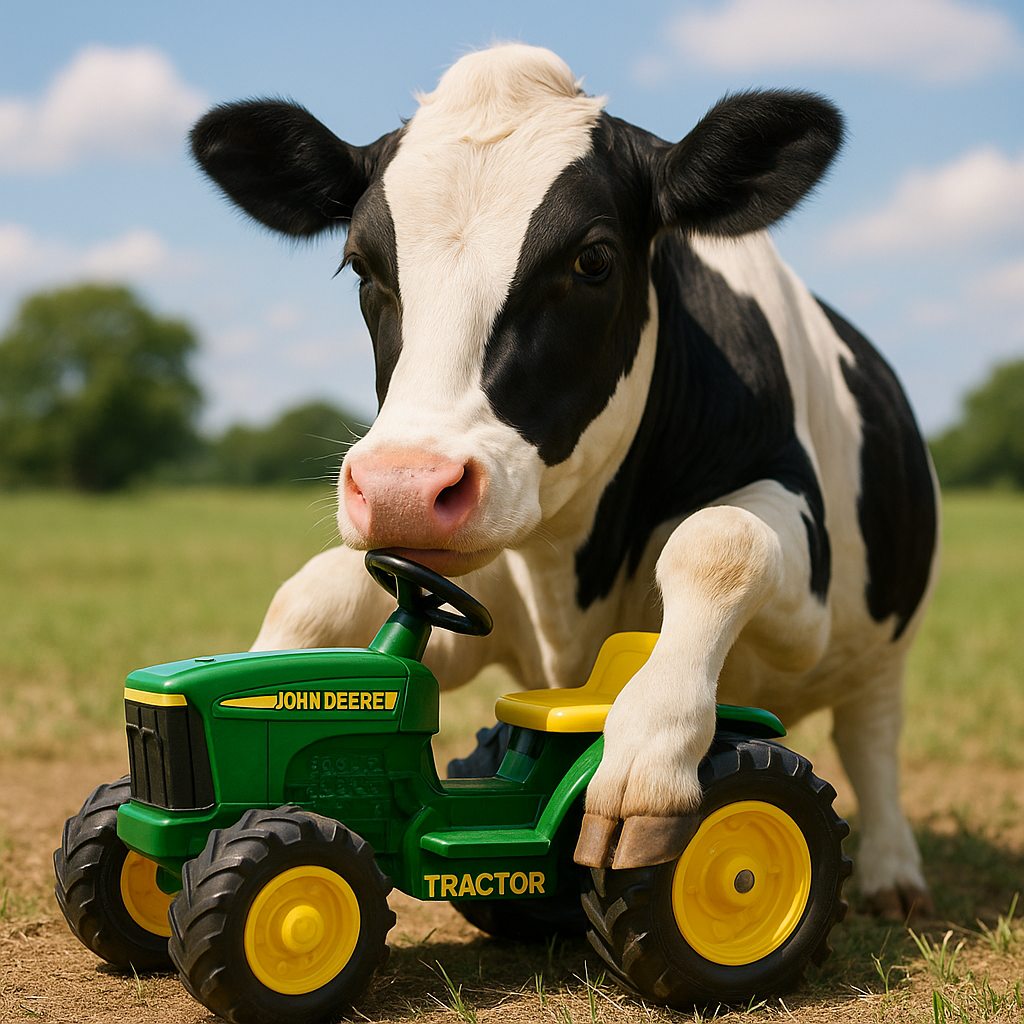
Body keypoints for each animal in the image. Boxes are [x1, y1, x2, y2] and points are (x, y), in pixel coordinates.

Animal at [190, 43, 938, 919]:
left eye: (593, 259)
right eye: (360, 264)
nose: (406, 487)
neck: (572, 572)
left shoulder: (800, 575)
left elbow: (718, 541)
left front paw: (649, 758)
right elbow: (312, 597)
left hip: (884, 642)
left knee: (871, 736)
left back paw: (892, 872)